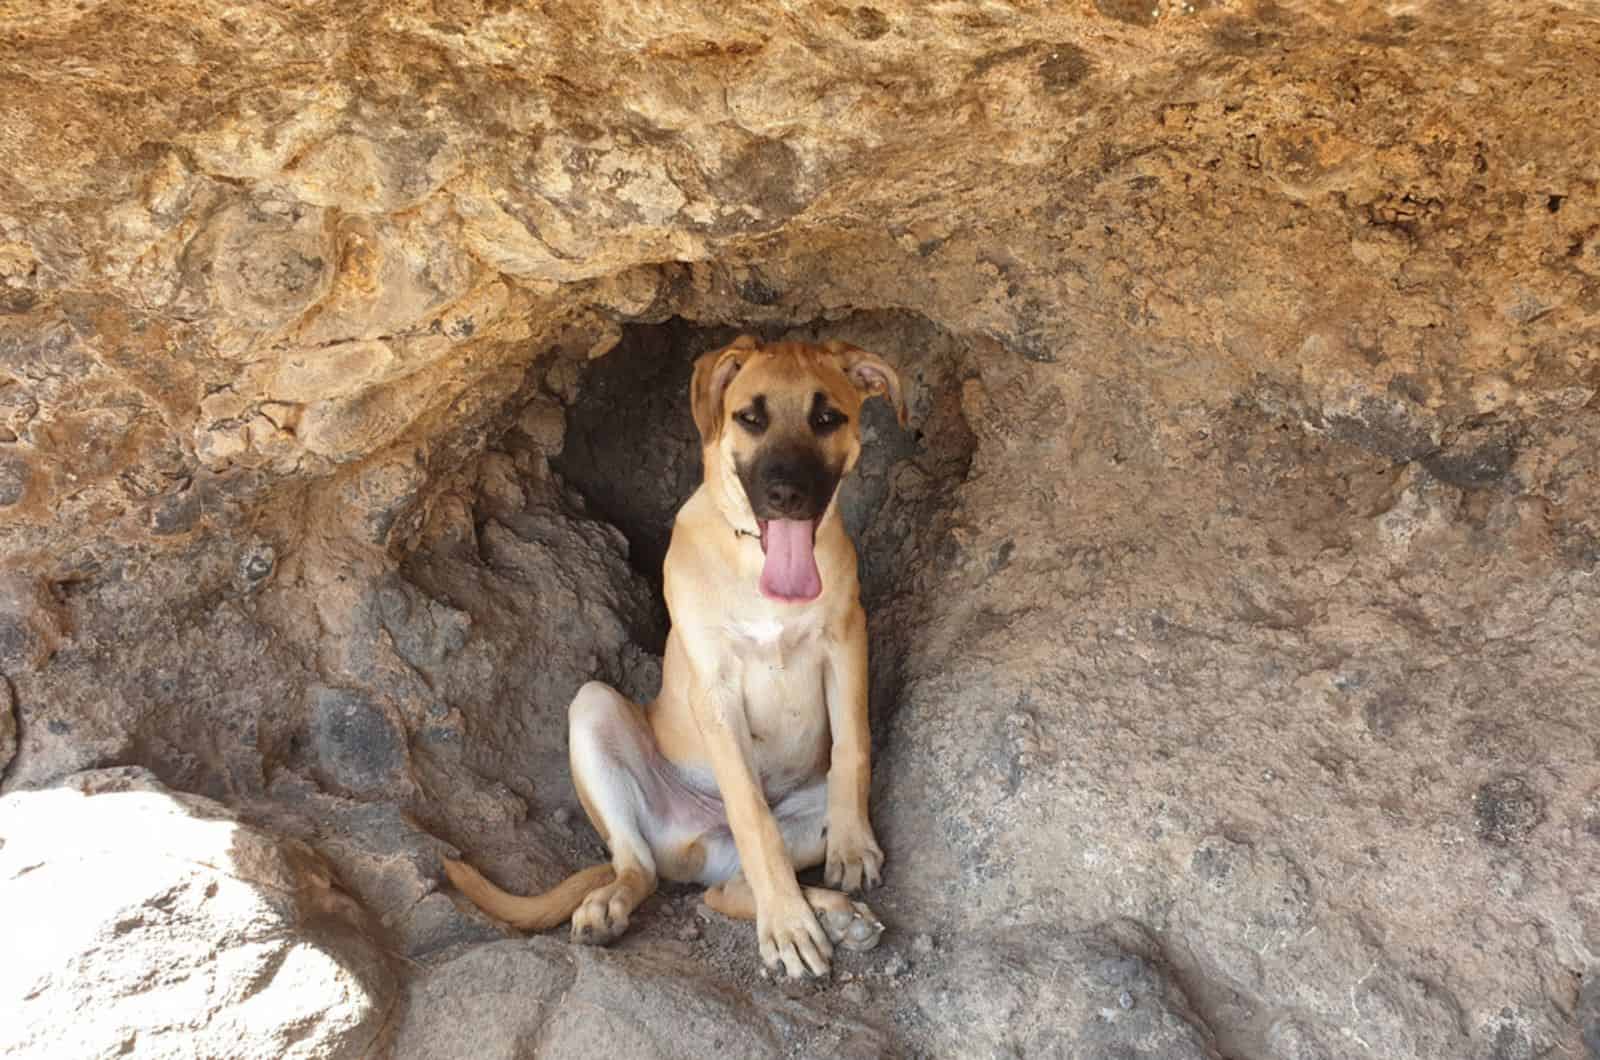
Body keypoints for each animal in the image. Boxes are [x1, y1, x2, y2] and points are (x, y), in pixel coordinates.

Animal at [444, 337, 908, 979]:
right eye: (750, 417)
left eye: (827, 418)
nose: (787, 496)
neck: (758, 570)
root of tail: (696, 847)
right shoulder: (715, 688)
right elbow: (752, 814)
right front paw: (788, 930)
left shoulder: (846, 641)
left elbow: (853, 748)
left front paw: (852, 846)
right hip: (593, 711)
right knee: (640, 867)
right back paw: (621, 906)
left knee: (724, 890)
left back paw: (834, 915)